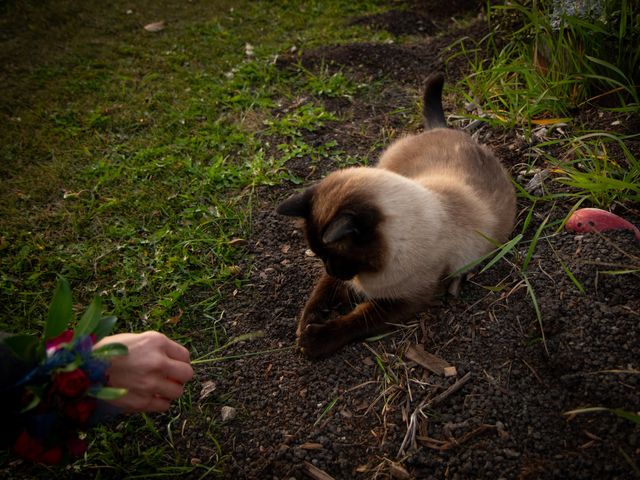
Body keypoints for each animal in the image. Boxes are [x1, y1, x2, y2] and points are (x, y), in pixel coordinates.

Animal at [278, 73, 516, 358]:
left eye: (332, 257)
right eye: (322, 258)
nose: (330, 269)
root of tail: (442, 128)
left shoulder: (401, 301)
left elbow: (357, 320)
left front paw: (312, 340)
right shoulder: (348, 283)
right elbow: (322, 292)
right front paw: (308, 321)